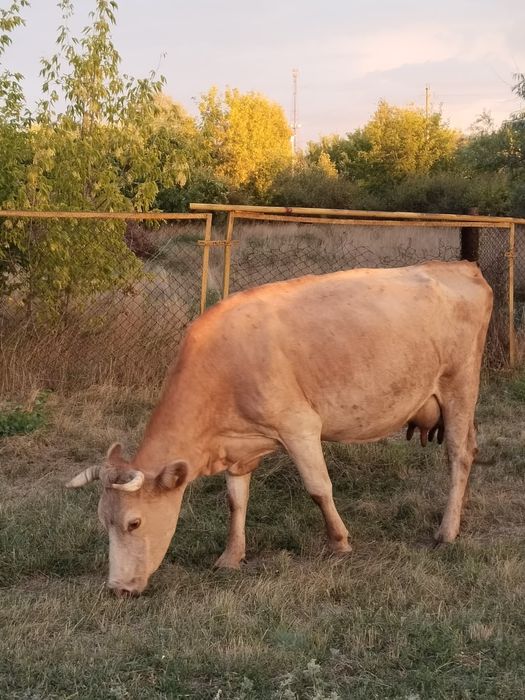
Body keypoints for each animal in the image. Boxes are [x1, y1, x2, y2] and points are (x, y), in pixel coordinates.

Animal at [67, 261, 493, 596]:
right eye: (103, 521)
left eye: (134, 522)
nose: (117, 589)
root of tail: (460, 267)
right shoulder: (239, 447)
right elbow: (236, 500)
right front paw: (230, 556)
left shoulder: (299, 426)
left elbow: (319, 488)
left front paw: (340, 543)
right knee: (469, 450)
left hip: (460, 385)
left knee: (458, 454)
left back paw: (446, 532)